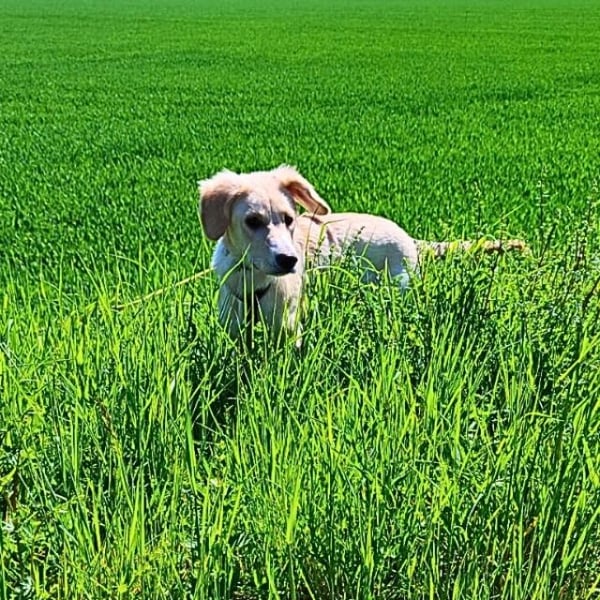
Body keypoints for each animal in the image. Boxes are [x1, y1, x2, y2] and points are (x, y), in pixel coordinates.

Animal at [199, 165, 526, 340]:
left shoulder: (289, 328)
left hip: (398, 289)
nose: (290, 260)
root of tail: (409, 238)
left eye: (289, 219)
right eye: (253, 221)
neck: (252, 282)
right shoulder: (235, 329)